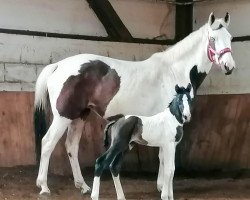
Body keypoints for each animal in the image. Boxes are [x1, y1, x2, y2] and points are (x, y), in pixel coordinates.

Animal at [34, 12, 234, 195]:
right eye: (213, 39)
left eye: (230, 38)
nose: (229, 66)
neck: (174, 71)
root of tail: (57, 65)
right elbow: (163, 157)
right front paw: (162, 187)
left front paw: (161, 186)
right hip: (63, 116)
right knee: (48, 143)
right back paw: (44, 186)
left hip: (79, 116)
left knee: (71, 147)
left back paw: (82, 186)